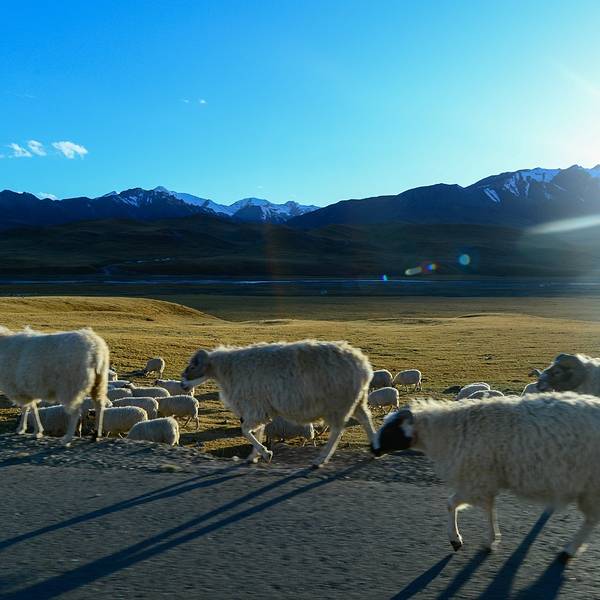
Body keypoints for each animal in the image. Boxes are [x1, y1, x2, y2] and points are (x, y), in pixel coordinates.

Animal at [181, 339, 376, 468]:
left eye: (193, 366)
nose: (182, 385)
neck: (226, 369)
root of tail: (364, 365)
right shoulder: (261, 408)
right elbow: (257, 431)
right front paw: (255, 456)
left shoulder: (255, 406)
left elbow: (246, 431)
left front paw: (265, 453)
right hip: (356, 400)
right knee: (366, 419)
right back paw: (375, 447)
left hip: (338, 404)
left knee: (337, 431)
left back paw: (320, 459)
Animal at [373, 393, 600, 560]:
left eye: (391, 430)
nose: (372, 449)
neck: (448, 432)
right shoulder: (484, 481)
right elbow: (489, 510)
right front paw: (490, 540)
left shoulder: (477, 481)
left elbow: (452, 504)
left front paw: (458, 540)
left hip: (592, 486)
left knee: (591, 519)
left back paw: (570, 549)